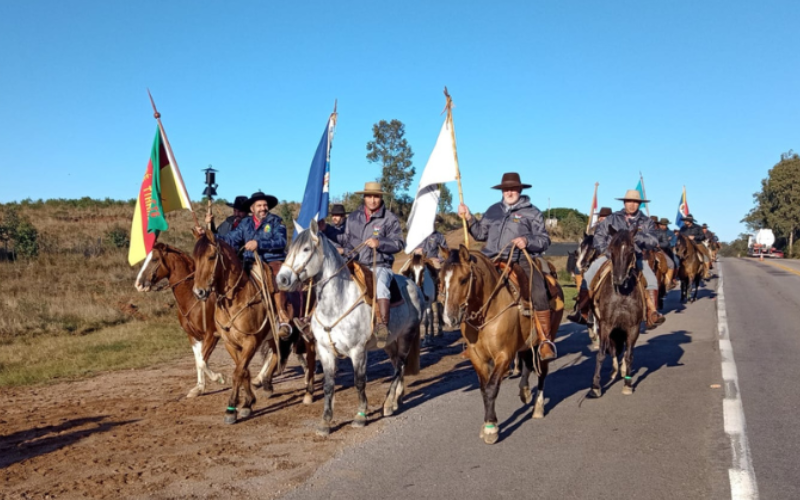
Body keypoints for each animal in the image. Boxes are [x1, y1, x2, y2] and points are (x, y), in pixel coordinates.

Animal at [135, 242, 225, 398]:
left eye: (154, 259)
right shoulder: (193, 337)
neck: (193, 298)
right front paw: (199, 388)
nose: (138, 284)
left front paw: (218, 378)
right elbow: (198, 361)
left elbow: (202, 362)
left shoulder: (212, 335)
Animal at [191, 229, 316, 422]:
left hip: (309, 331)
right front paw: (248, 403)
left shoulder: (251, 341)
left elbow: (238, 372)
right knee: (277, 354)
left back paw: (308, 392)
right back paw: (267, 385)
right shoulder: (230, 343)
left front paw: (231, 408)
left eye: (211, 256)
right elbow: (243, 371)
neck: (237, 298)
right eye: (195, 258)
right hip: (275, 335)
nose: (199, 292)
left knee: (310, 357)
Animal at [276, 221, 424, 436]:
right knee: (398, 365)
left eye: (306, 249)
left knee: (399, 367)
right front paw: (325, 422)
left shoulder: (358, 351)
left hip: (406, 336)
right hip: (389, 342)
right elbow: (328, 385)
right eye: (289, 250)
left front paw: (360, 416)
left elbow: (359, 382)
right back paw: (397, 399)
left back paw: (388, 404)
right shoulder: (325, 351)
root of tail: (414, 286)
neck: (337, 302)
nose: (282, 280)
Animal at [438, 244, 564, 444]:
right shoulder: (478, 358)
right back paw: (524, 391)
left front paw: (491, 428)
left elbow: (491, 388)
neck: (487, 312)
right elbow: (484, 389)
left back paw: (537, 407)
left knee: (542, 372)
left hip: (545, 340)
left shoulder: (503, 355)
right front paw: (487, 424)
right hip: (525, 343)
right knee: (527, 364)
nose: (449, 318)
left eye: (464, 279)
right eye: (441, 279)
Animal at [588, 229, 648, 396]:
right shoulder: (606, 324)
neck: (622, 293)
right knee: (613, 349)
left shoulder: (633, 327)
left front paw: (628, 383)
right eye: (611, 249)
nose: (619, 279)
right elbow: (602, 354)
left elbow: (629, 355)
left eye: (631, 249)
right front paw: (596, 386)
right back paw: (615, 370)